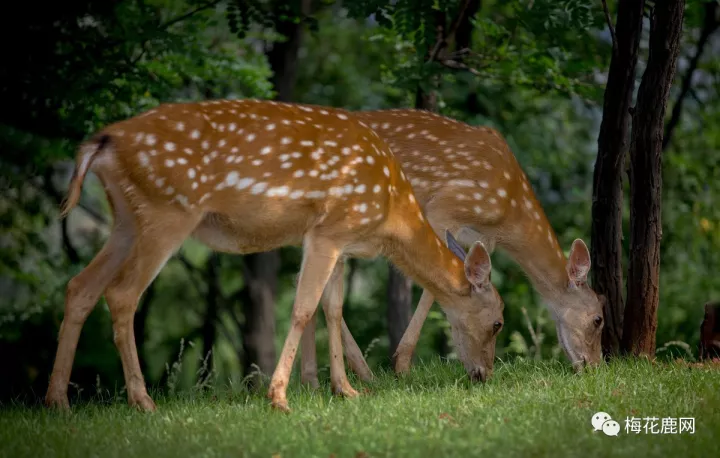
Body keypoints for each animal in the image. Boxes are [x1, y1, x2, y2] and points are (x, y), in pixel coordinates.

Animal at [46, 98, 500, 414]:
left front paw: (346, 390)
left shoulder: (341, 240)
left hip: (125, 220)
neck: (390, 212)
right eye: (497, 322)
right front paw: (279, 396)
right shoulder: (327, 231)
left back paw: (58, 401)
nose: (486, 375)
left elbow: (333, 309)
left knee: (79, 286)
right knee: (122, 294)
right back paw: (142, 401)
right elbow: (303, 309)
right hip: (168, 211)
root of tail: (102, 142)